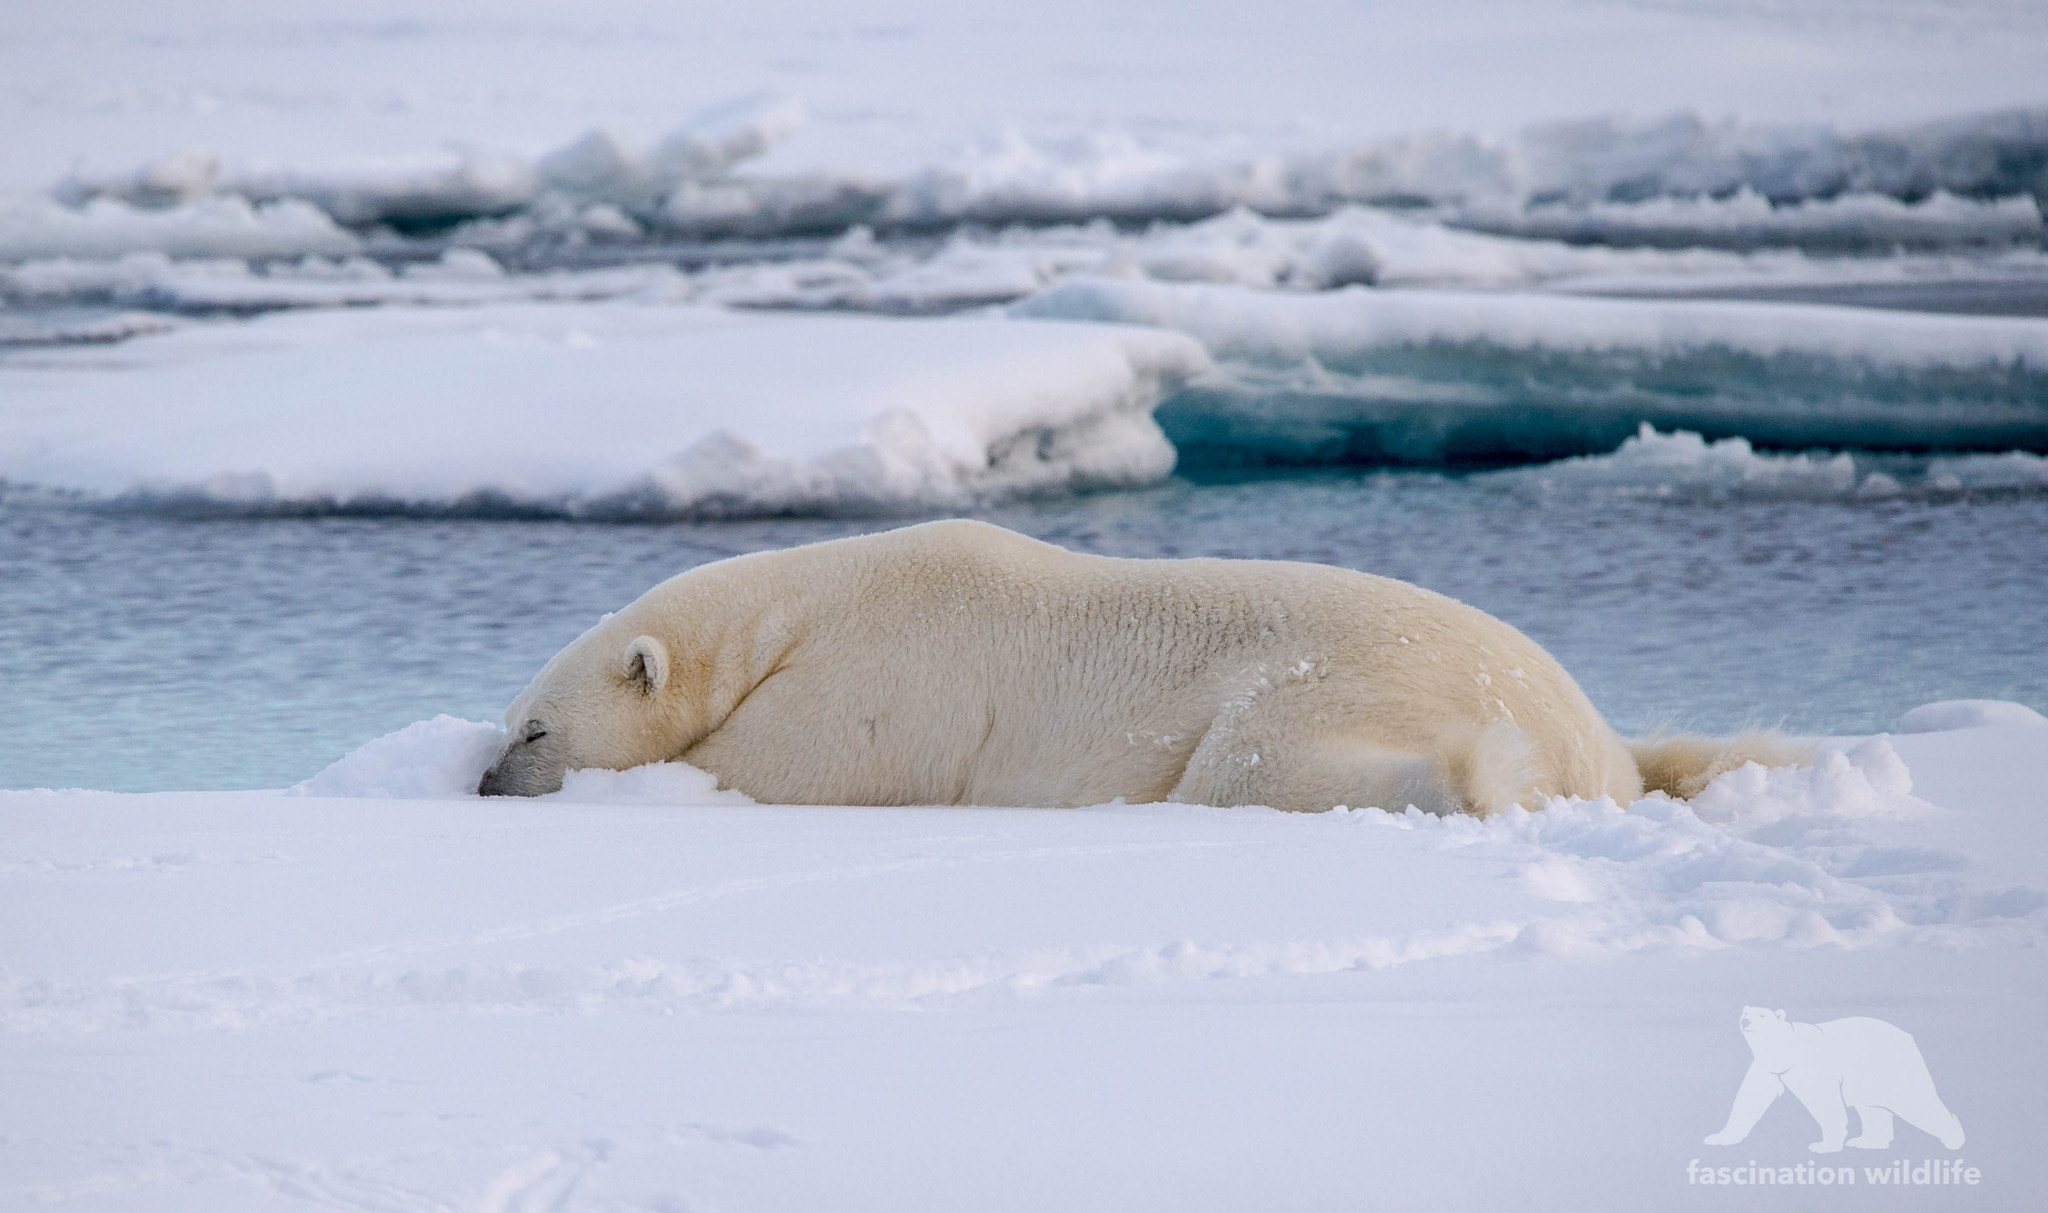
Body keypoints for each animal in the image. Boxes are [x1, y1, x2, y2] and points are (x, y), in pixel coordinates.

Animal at [1705, 1007, 1965, 1153]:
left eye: (1762, 1015)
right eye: (1745, 1013)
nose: (1746, 1021)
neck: (1786, 1049)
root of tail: (1908, 1037)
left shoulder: (1811, 1065)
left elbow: (1825, 1101)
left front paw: (1824, 1146)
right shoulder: (1767, 1067)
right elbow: (1749, 1099)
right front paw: (1718, 1138)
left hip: (1889, 1067)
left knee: (1915, 1101)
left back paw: (1954, 1139)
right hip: (1866, 1077)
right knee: (1872, 1109)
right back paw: (1867, 1142)